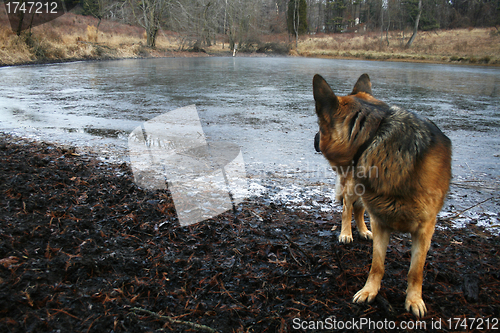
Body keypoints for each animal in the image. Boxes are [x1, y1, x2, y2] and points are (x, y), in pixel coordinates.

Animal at [316, 73, 454, 316]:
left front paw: (414, 300)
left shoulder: (425, 230)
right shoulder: (380, 222)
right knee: (348, 209)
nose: (314, 138)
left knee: (359, 210)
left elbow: (415, 270)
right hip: (354, 190)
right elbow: (377, 265)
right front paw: (370, 291)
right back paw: (346, 233)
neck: (374, 136)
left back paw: (362, 231)